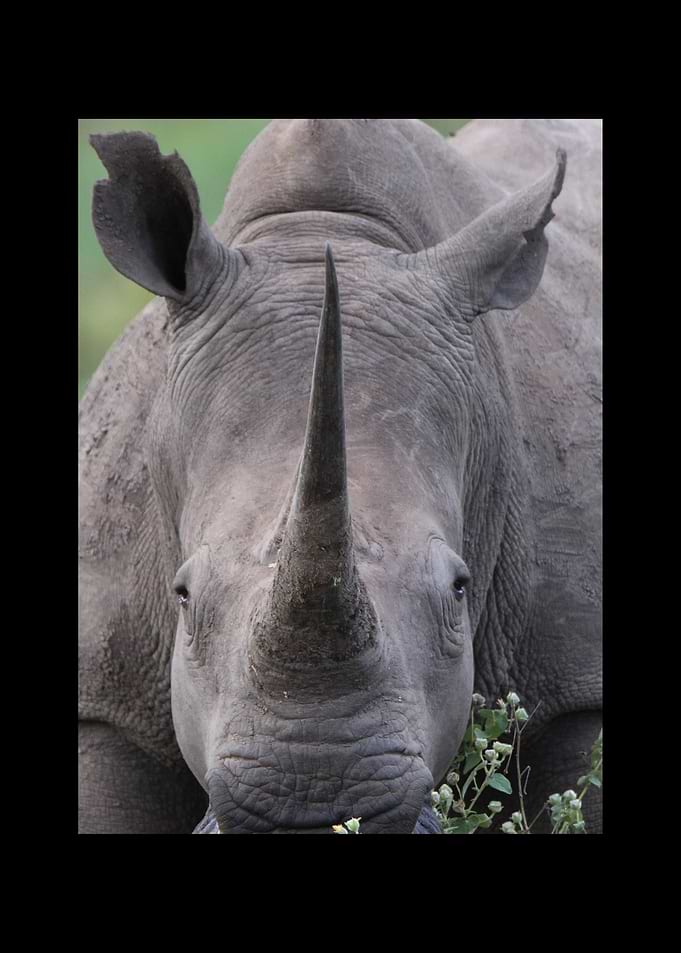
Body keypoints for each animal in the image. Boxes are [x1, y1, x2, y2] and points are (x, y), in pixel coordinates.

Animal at [78, 118, 602, 834]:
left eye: (459, 589)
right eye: (182, 597)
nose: (313, 793)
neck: (325, 230)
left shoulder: (579, 677)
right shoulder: (106, 700)